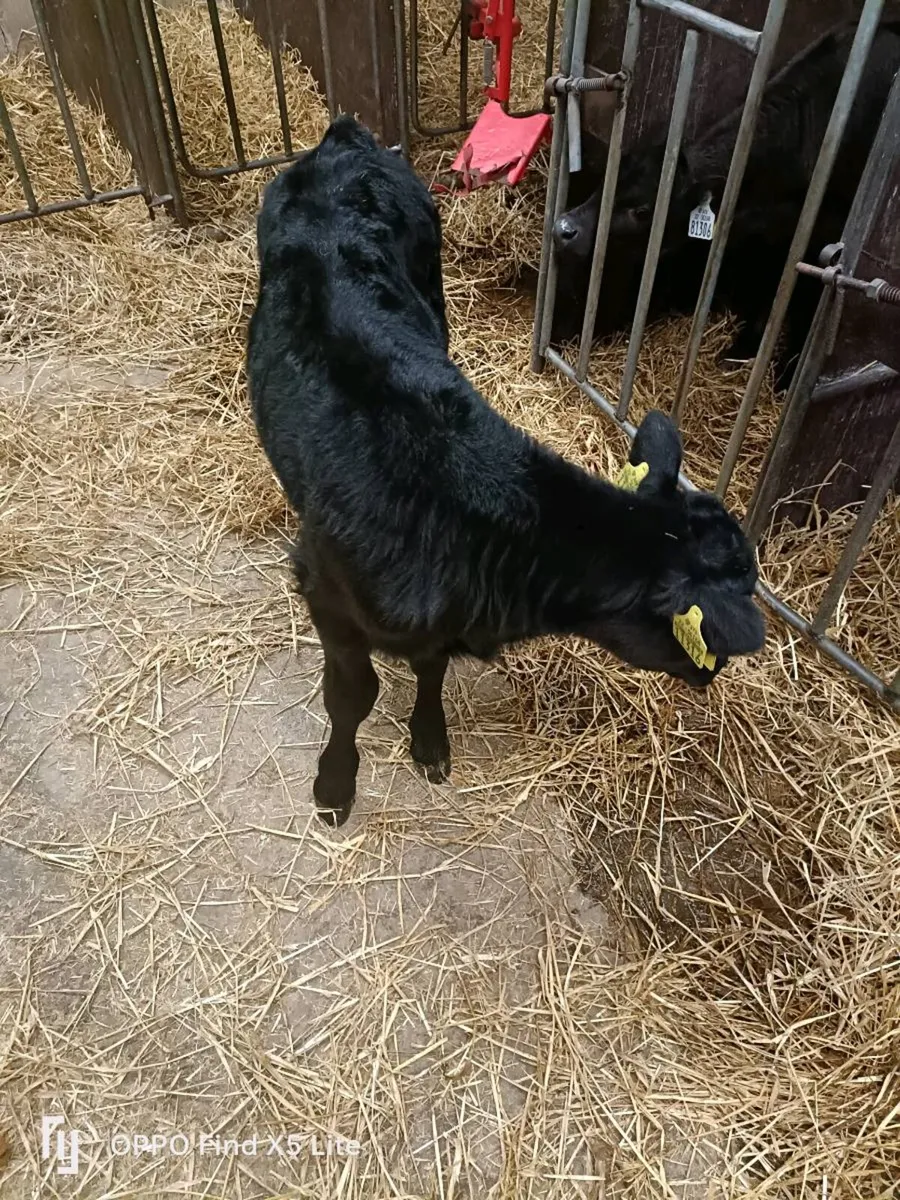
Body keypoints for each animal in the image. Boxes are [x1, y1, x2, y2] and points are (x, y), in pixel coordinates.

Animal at [247, 116, 765, 827]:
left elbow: (430, 669)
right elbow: (352, 695)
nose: (712, 677)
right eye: (712, 634)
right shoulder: (327, 593)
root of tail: (343, 140)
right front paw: (335, 784)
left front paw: (430, 740)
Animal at [551, 20, 900, 383]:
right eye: (605, 181)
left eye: (643, 210)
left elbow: (804, 303)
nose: (563, 228)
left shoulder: (823, 241)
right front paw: (742, 349)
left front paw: (787, 373)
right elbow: (765, 291)